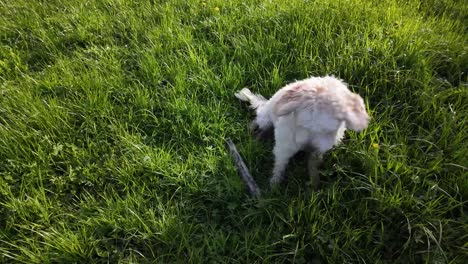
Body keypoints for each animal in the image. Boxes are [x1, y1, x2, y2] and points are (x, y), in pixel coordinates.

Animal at [236, 75, 372, 187]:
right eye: (305, 125)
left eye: (330, 130)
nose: (313, 147)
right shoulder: (285, 147)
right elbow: (280, 165)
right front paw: (274, 185)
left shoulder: (317, 151)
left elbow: (312, 166)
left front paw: (314, 185)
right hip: (265, 119)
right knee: (259, 123)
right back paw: (253, 135)